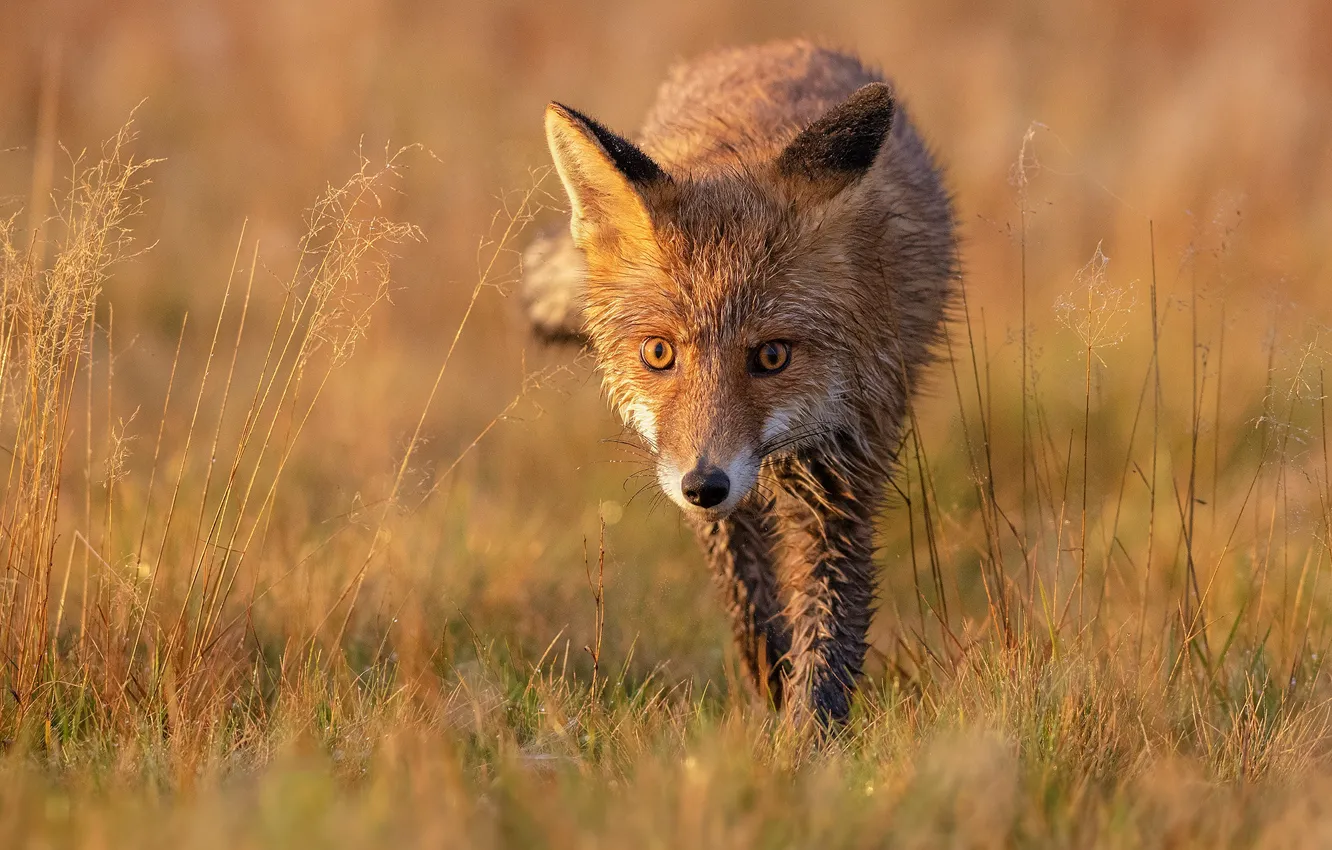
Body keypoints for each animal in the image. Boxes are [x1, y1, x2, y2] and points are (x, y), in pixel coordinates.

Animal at [522, 39, 959, 724]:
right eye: (658, 352)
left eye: (773, 356)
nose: (706, 485)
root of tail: (779, 45)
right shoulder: (690, 470)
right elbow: (747, 594)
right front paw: (770, 676)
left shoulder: (843, 477)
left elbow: (829, 635)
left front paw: (808, 738)